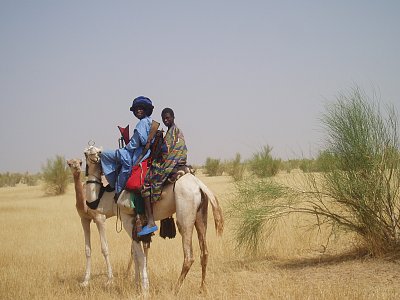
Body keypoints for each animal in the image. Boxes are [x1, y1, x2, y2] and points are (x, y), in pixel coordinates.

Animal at [74, 145, 225, 296]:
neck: (108, 198)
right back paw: (202, 288)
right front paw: (136, 284)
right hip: (200, 215)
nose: (95, 157)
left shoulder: (127, 219)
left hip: (185, 213)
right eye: (87, 152)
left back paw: (175, 290)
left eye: (97, 151)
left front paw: (144, 289)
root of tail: (199, 185)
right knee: (204, 252)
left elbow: (140, 256)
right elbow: (137, 254)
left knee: (189, 256)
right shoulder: (138, 223)